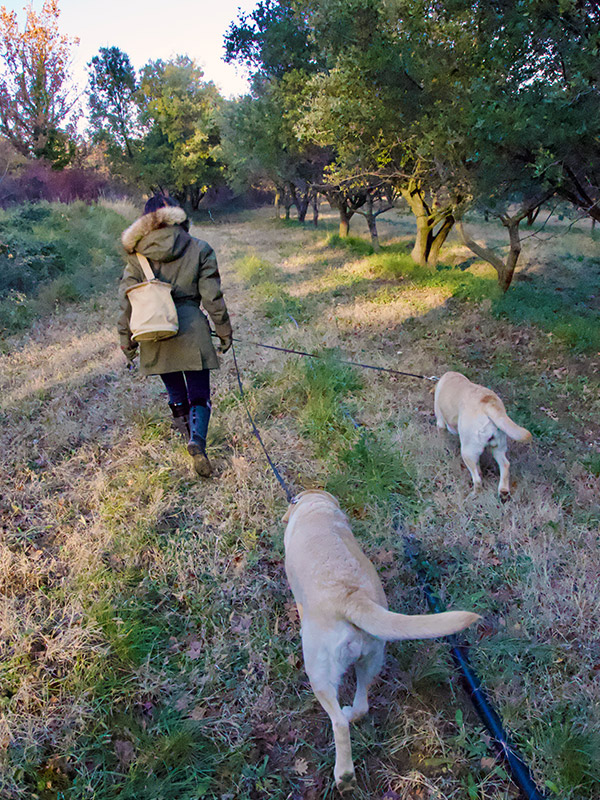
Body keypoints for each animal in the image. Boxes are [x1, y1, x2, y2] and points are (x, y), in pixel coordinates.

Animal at [282, 490, 478, 792]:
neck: (316, 507)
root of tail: (351, 598)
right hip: (371, 658)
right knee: (361, 705)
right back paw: (353, 713)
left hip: (319, 673)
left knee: (339, 722)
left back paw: (344, 775)